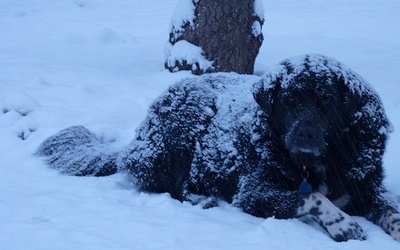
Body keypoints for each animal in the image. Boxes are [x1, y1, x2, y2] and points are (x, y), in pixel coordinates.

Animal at [36, 54, 398, 242]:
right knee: (168, 184)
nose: (305, 134)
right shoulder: (253, 192)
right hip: (190, 112)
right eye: (290, 99)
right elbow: (313, 197)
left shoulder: (369, 189)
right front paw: (342, 223)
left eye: (327, 99)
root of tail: (137, 139)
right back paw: (204, 199)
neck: (323, 161)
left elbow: (392, 211)